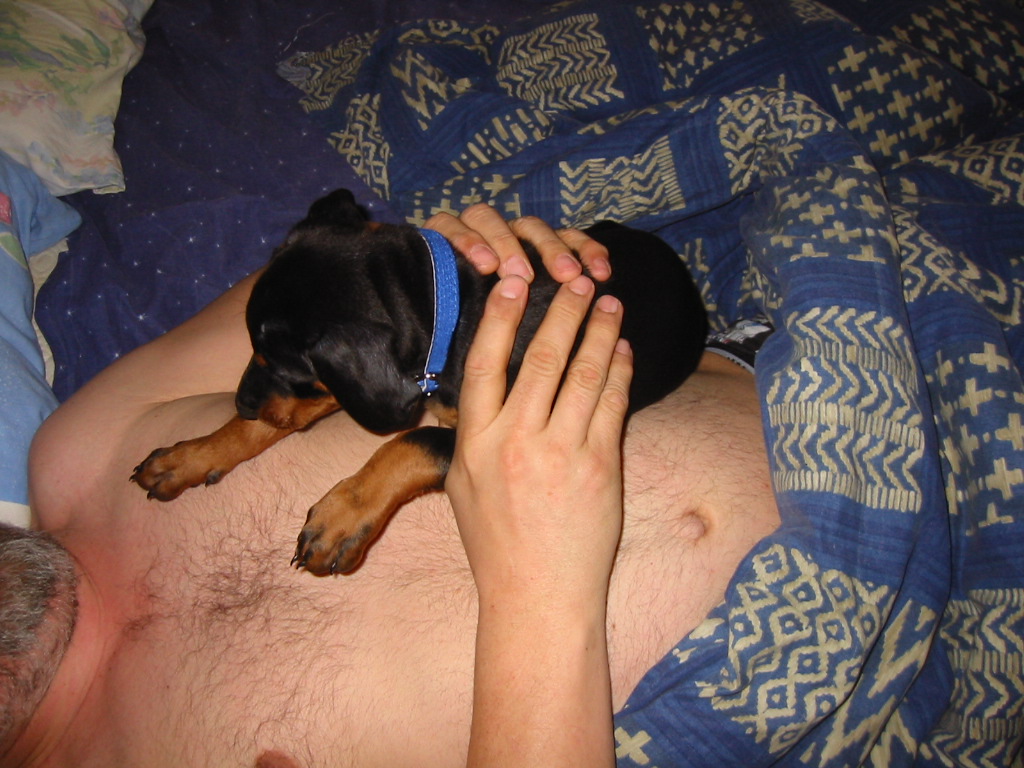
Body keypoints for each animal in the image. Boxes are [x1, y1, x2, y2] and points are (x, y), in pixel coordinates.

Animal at [131, 189, 707, 575]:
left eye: (300, 375)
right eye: (254, 348)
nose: (242, 401)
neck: (454, 308)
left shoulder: (492, 436)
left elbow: (410, 441)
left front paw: (340, 517)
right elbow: (270, 427)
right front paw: (188, 456)